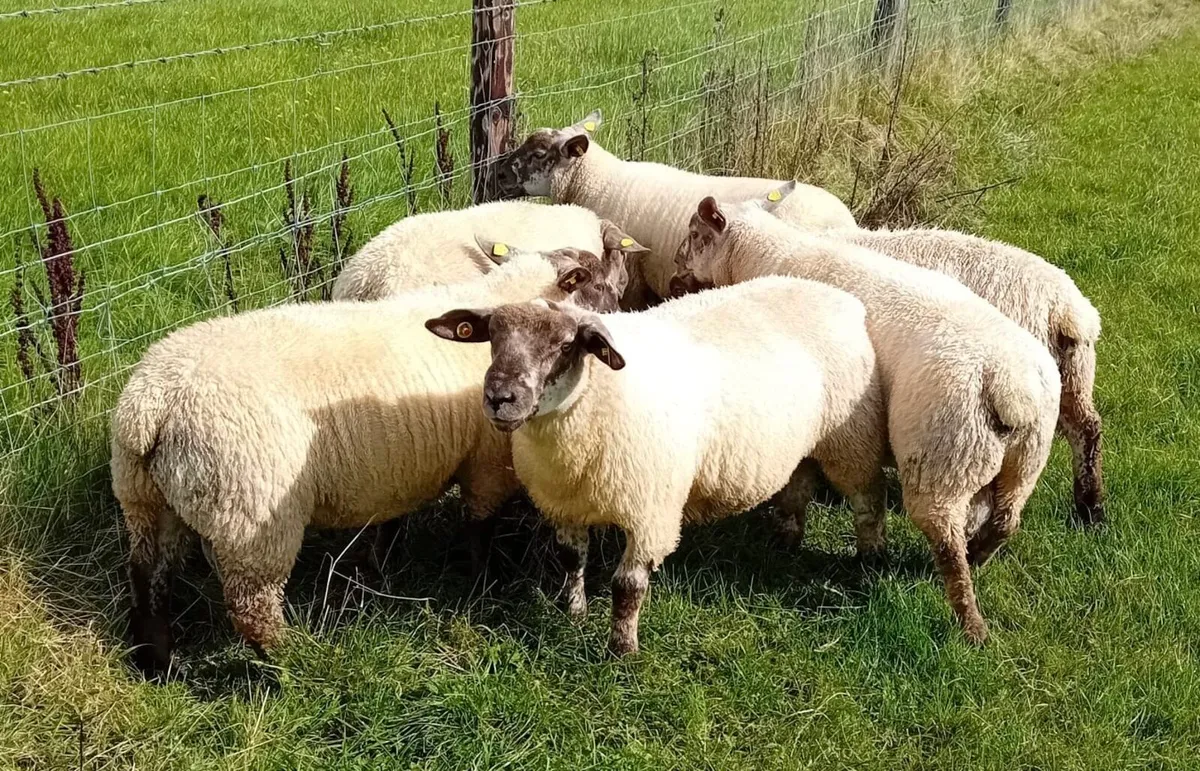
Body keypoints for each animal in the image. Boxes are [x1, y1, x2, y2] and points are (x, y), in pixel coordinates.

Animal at [112, 245, 627, 678]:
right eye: (594, 284)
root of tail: (150, 403)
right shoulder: (487, 464)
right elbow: (480, 530)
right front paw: (484, 587)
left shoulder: (398, 468)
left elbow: (392, 522)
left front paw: (377, 569)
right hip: (251, 519)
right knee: (252, 610)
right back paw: (293, 666)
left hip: (147, 501)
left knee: (147, 579)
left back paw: (160, 665)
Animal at [425, 276, 888, 656]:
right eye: (492, 338)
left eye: (565, 346)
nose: (499, 397)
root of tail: (842, 297)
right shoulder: (564, 504)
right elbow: (570, 559)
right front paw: (573, 612)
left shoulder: (651, 513)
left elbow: (627, 588)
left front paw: (621, 650)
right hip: (804, 439)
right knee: (799, 482)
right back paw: (785, 541)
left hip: (853, 439)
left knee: (867, 502)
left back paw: (869, 561)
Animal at [672, 197, 1062, 645]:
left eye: (695, 235)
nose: (674, 273)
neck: (767, 256)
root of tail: (1012, 388)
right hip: (1022, 461)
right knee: (1005, 521)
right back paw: (978, 555)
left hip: (940, 456)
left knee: (947, 542)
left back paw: (970, 621)